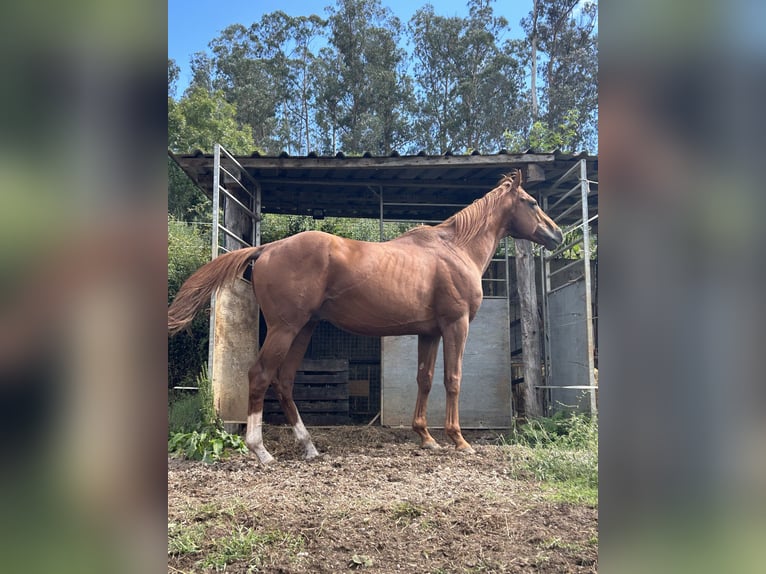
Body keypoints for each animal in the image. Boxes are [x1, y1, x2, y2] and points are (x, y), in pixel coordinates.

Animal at [170, 169, 564, 466]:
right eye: (530, 202)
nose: (557, 234)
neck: (456, 248)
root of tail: (268, 247)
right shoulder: (456, 326)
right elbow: (452, 379)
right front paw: (458, 440)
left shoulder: (430, 333)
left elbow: (425, 379)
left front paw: (426, 437)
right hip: (285, 329)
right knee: (260, 375)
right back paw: (262, 451)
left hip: (302, 330)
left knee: (284, 381)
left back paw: (309, 447)